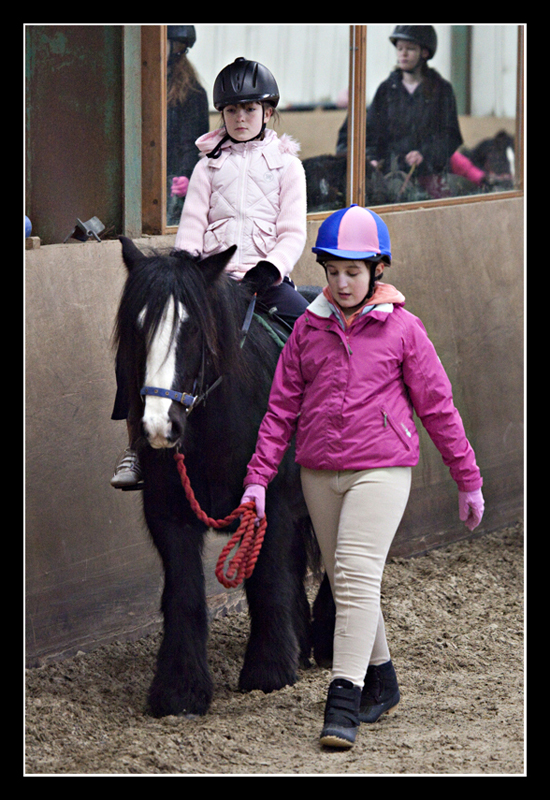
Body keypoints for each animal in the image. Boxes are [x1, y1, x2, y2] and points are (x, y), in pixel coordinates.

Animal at [116, 238, 332, 720]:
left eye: (193, 327)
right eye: (137, 328)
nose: (159, 426)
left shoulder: (268, 504)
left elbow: (267, 581)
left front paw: (268, 672)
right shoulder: (169, 514)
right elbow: (185, 595)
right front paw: (180, 691)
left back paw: (327, 641)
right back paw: (302, 638)